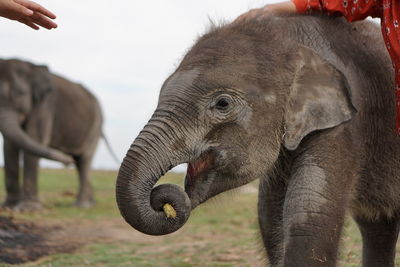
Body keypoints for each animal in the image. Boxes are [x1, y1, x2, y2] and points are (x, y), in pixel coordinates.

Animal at [0, 59, 103, 211]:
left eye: (20, 93)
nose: (66, 161)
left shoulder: (45, 104)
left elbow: (34, 138)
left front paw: (28, 209)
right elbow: (9, 145)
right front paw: (8, 207)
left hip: (96, 123)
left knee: (84, 159)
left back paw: (81, 206)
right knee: (80, 162)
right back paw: (91, 203)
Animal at [115, 14, 400, 266]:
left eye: (222, 103)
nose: (163, 200)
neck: (288, 39)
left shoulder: (345, 122)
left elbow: (309, 216)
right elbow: (269, 217)